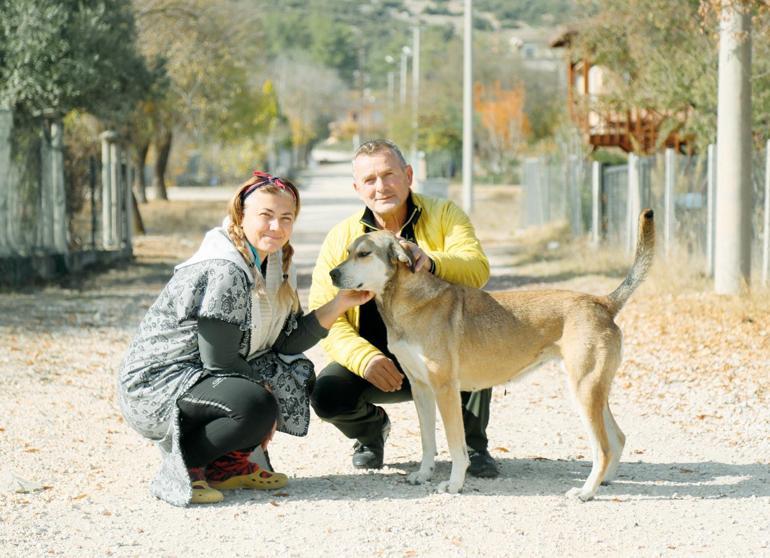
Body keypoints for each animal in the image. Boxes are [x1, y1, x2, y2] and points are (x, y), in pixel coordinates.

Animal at [328, 210, 652, 504]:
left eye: (364, 253)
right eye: (347, 252)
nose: (332, 274)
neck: (407, 301)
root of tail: (602, 302)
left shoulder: (445, 390)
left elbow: (455, 445)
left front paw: (454, 484)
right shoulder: (422, 390)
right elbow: (427, 441)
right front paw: (423, 474)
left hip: (584, 391)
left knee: (604, 447)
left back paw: (586, 491)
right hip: (594, 392)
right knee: (618, 438)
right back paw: (604, 482)